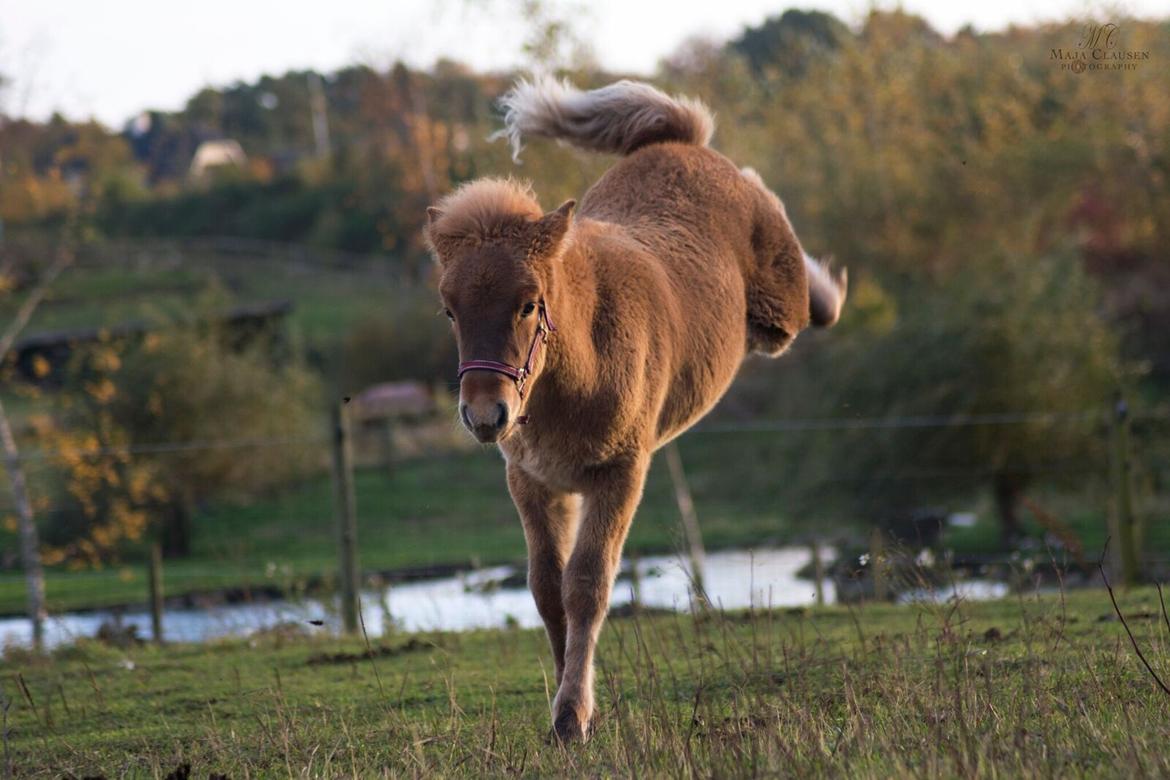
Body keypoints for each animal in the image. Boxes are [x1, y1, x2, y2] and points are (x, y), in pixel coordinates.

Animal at [425, 79, 847, 743]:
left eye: (528, 303)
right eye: (450, 310)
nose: (486, 415)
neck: (578, 365)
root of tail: (682, 143)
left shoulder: (620, 474)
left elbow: (587, 585)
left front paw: (572, 716)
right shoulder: (532, 480)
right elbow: (546, 588)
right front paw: (567, 701)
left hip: (780, 311)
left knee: (802, 291)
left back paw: (830, 284)